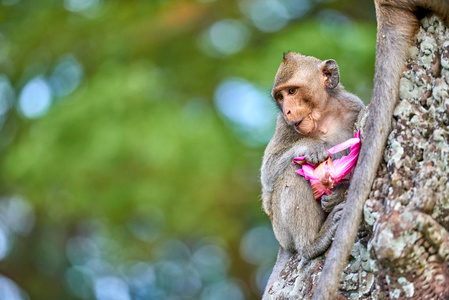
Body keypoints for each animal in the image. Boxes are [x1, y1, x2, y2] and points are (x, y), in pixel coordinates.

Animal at [260, 52, 364, 298]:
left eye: (292, 91)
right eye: (280, 96)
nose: (287, 110)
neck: (323, 116)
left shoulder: (355, 106)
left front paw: (338, 193)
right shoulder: (284, 125)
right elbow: (267, 175)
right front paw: (312, 146)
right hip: (281, 228)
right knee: (292, 172)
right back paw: (312, 243)